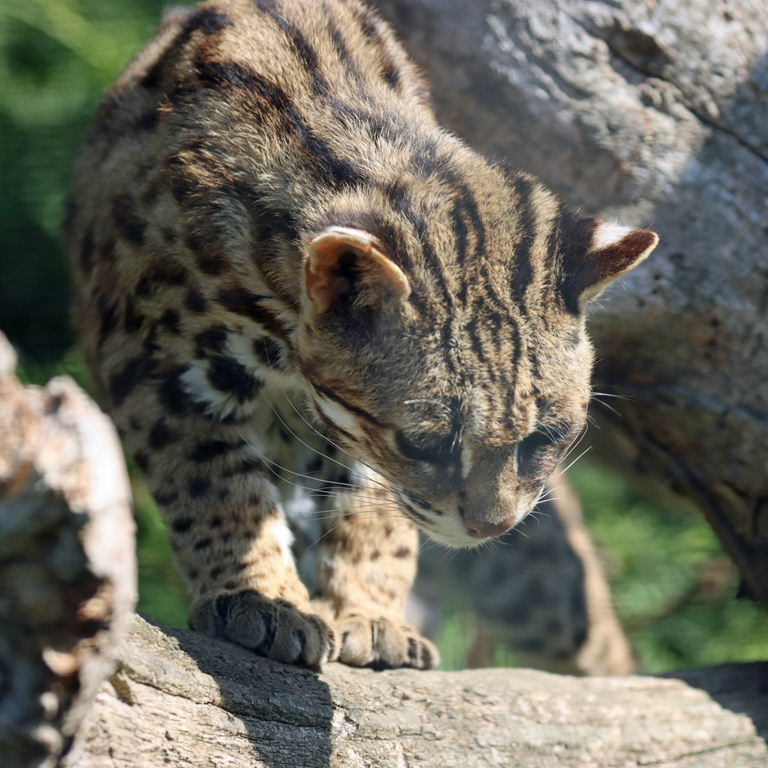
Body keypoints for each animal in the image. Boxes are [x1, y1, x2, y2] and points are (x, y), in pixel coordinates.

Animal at [65, 0, 657, 670]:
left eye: (547, 437)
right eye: (425, 443)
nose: (492, 528)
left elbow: (374, 507)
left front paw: (370, 612)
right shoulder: (154, 361)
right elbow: (214, 484)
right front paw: (262, 594)